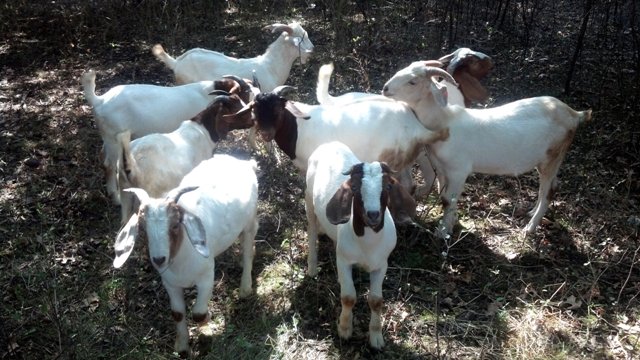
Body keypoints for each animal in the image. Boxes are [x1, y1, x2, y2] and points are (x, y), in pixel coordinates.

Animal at [82, 69, 255, 205]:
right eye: (245, 93)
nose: (253, 117)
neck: (207, 94)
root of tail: (100, 100)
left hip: (108, 138)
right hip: (113, 139)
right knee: (109, 164)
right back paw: (116, 197)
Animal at [113, 154, 260, 358]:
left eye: (176, 224)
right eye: (143, 228)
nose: (159, 259)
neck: (180, 259)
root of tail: (245, 163)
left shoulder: (206, 277)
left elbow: (198, 314)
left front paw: (207, 322)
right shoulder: (170, 283)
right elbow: (177, 313)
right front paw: (182, 347)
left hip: (250, 221)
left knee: (248, 249)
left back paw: (245, 287)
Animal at [304, 141, 416, 348]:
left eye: (388, 185)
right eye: (354, 187)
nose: (373, 215)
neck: (367, 244)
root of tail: (329, 143)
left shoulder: (381, 265)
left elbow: (376, 300)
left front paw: (376, 337)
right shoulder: (345, 261)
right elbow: (348, 297)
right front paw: (344, 329)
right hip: (308, 196)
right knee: (312, 228)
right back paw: (312, 268)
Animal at [380, 62, 596, 236]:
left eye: (413, 81)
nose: (385, 88)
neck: (446, 121)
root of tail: (574, 114)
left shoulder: (459, 170)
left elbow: (448, 200)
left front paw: (443, 232)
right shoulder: (442, 168)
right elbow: (443, 197)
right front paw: (451, 222)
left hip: (553, 156)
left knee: (548, 191)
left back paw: (530, 228)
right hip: (549, 160)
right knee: (551, 186)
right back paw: (532, 212)